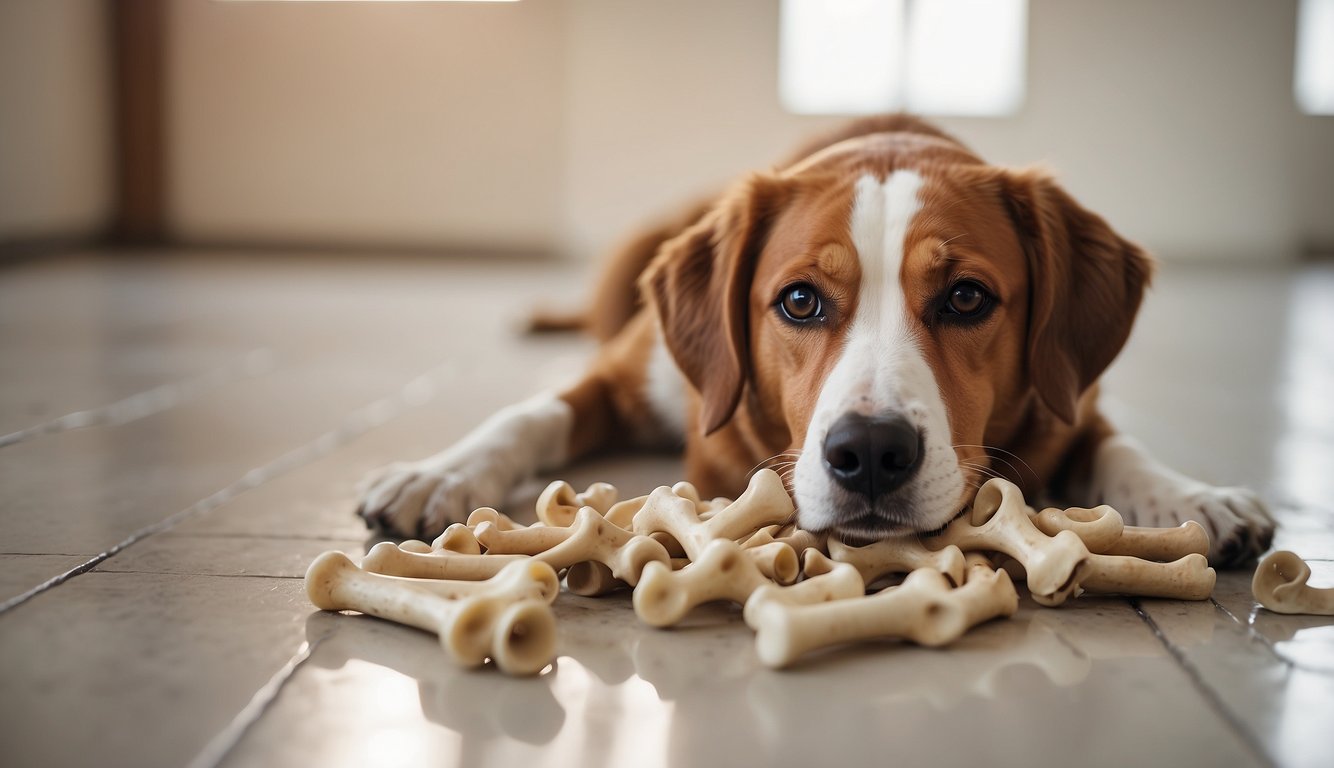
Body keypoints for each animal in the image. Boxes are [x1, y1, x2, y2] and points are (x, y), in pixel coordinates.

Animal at [360, 117, 1275, 568]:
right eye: (799, 300)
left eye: (967, 297)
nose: (869, 453)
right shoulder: (629, 378)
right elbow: (529, 414)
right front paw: (438, 473)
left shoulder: (1074, 400)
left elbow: (1122, 448)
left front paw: (1196, 498)